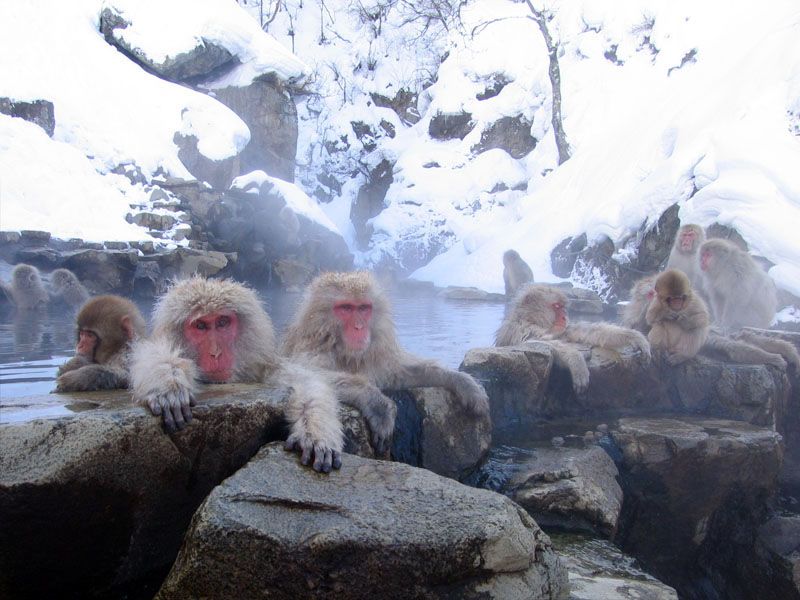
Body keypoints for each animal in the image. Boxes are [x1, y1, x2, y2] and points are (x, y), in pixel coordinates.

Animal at [131, 278, 344, 474]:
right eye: (200, 326)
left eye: (222, 322)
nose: (216, 353)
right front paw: (169, 384)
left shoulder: (263, 369)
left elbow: (307, 382)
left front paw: (315, 434)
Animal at [282, 272, 494, 450]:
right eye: (346, 308)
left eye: (363, 308)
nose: (359, 327)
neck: (345, 352)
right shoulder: (312, 350)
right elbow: (302, 374)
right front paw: (378, 404)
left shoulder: (374, 356)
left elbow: (398, 374)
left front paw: (462, 381)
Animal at [494, 284, 648, 394]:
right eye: (556, 306)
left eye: (562, 307)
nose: (564, 316)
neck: (533, 320)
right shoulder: (521, 329)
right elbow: (535, 341)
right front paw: (576, 360)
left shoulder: (562, 329)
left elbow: (585, 331)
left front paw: (635, 337)